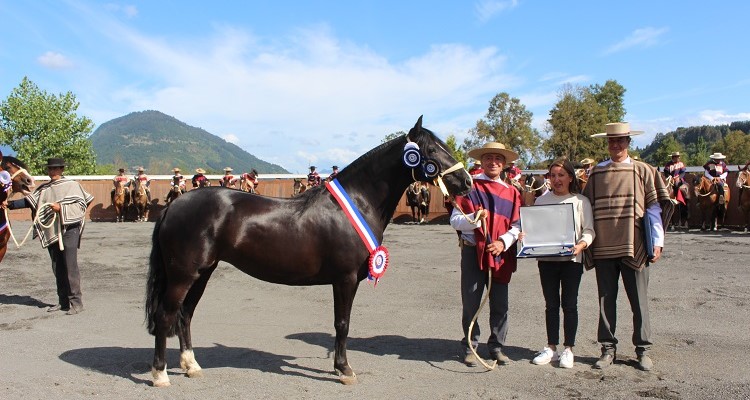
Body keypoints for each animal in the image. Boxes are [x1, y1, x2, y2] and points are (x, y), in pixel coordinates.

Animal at [145, 116, 472, 388]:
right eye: (431, 149)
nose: (466, 182)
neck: (356, 202)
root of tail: (175, 205)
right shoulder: (345, 279)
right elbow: (342, 324)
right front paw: (344, 369)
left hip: (202, 273)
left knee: (185, 315)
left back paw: (191, 366)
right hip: (183, 275)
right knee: (165, 315)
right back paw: (160, 374)